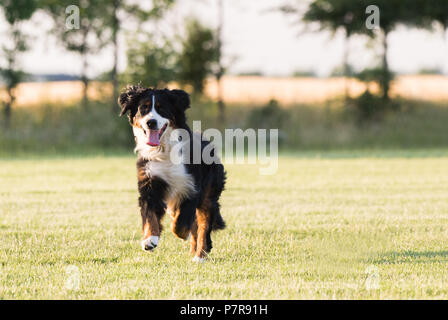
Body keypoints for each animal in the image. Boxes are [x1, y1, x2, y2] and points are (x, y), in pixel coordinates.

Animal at [118, 85, 226, 262]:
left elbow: (180, 224)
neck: (163, 151)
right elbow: (150, 216)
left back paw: (200, 255)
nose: (151, 122)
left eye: (162, 108)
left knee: (203, 224)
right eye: (143, 108)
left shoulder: (190, 187)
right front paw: (149, 240)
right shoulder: (150, 185)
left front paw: (183, 234)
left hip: (208, 195)